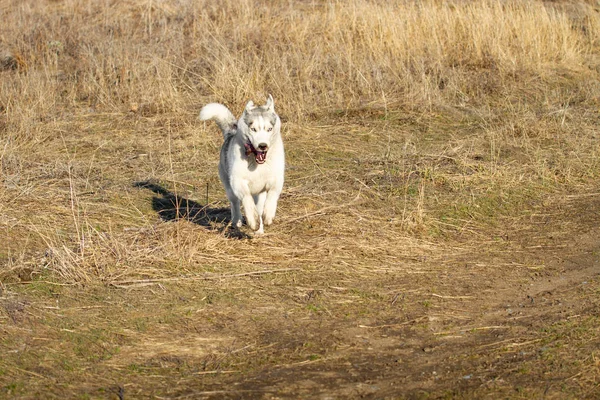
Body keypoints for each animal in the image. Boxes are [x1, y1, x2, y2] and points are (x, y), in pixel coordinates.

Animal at [200, 95, 284, 234]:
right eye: (253, 129)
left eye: (269, 129)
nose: (262, 145)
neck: (256, 162)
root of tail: (231, 133)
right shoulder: (237, 181)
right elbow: (246, 198)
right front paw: (252, 220)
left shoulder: (276, 179)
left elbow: (273, 194)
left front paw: (268, 215)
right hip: (228, 185)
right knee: (235, 202)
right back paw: (237, 220)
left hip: (259, 193)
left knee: (259, 207)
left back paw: (259, 229)